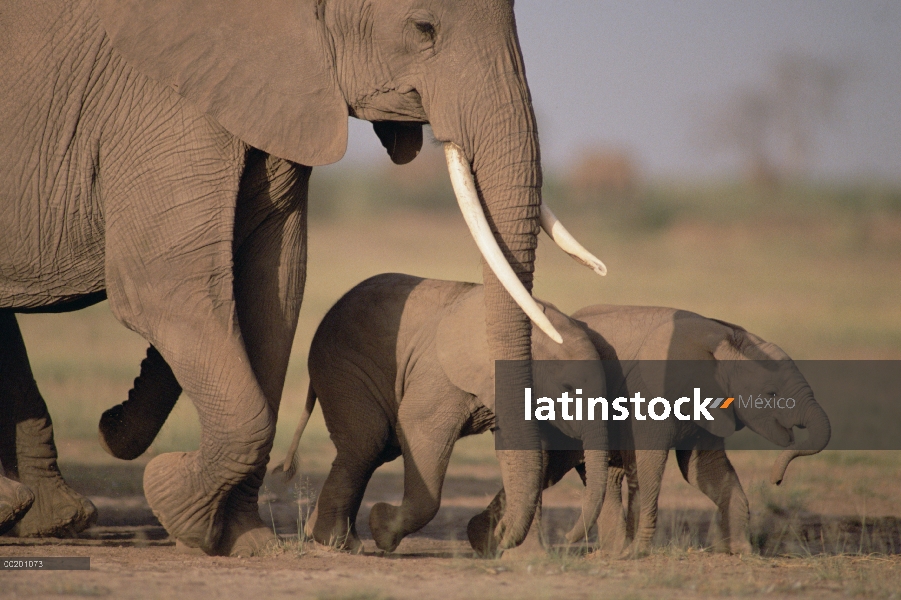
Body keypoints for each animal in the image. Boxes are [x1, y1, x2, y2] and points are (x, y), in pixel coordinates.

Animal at [278, 274, 608, 556]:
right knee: (368, 443)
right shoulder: (439, 375)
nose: (569, 539)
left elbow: (520, 451)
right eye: (567, 387)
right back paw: (341, 542)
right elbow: (417, 427)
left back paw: (321, 534)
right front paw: (382, 529)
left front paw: (486, 539)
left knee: (376, 450)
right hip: (343, 368)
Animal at [472, 304, 828, 556]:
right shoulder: (652, 392)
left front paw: (743, 552)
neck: (725, 338)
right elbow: (652, 462)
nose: (776, 479)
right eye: (771, 394)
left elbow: (704, 469)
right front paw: (640, 551)